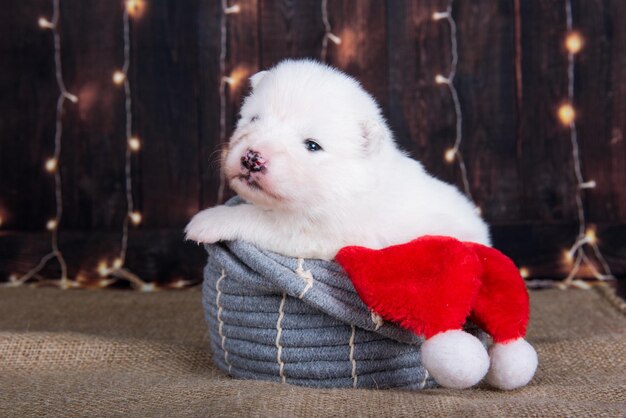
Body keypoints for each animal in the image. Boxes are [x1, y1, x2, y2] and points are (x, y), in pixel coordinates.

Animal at [185, 60, 488, 260]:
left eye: (312, 145)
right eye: (254, 119)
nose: (252, 158)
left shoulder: (324, 235)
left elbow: (258, 217)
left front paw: (208, 220)